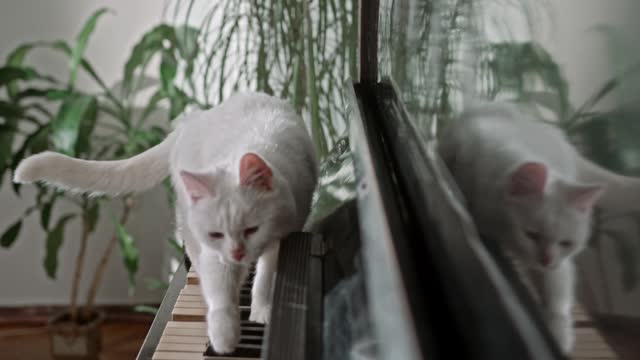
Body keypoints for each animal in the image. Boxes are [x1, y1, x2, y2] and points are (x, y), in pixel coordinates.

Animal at [12, 91, 318, 352]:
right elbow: (221, 293)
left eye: (252, 229)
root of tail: (191, 121)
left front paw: (263, 311)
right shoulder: (214, 253)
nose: (238, 253)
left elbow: (268, 277)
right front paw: (223, 336)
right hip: (189, 227)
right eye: (216, 234)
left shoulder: (286, 232)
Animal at [440, 102, 604, 352]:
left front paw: (559, 335)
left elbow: (558, 295)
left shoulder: (560, 265)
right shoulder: (463, 142)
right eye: (531, 234)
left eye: (566, 243)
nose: (546, 260)